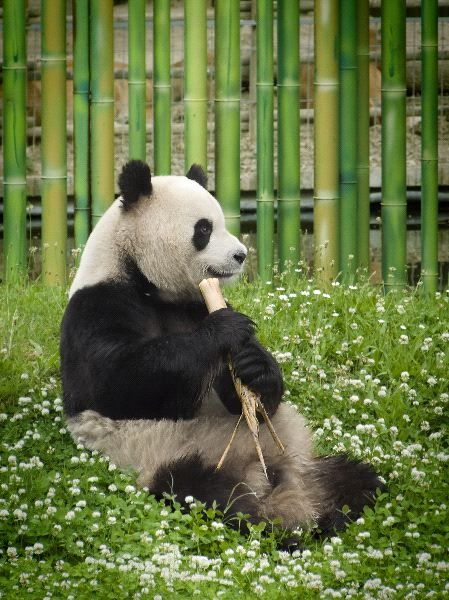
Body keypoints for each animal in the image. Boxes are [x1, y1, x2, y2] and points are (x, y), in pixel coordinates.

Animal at [59, 159, 382, 540]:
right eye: (204, 229)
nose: (240, 255)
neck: (142, 277)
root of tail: (270, 480)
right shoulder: (97, 305)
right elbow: (118, 381)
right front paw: (225, 330)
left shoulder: (194, 304)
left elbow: (244, 397)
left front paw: (254, 366)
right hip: (162, 453)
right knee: (204, 492)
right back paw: (271, 524)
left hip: (302, 463)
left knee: (357, 478)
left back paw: (336, 512)